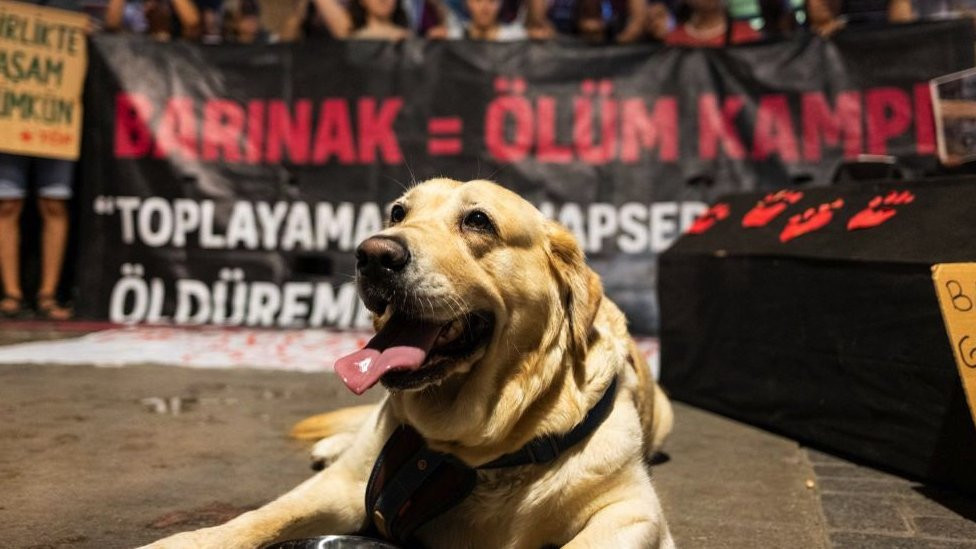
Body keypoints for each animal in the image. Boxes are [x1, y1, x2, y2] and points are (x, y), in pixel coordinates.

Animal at [145, 178, 676, 544]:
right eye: (397, 211)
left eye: (478, 221)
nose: (372, 254)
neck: (471, 448)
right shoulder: (342, 489)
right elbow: (262, 517)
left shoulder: (632, 513)